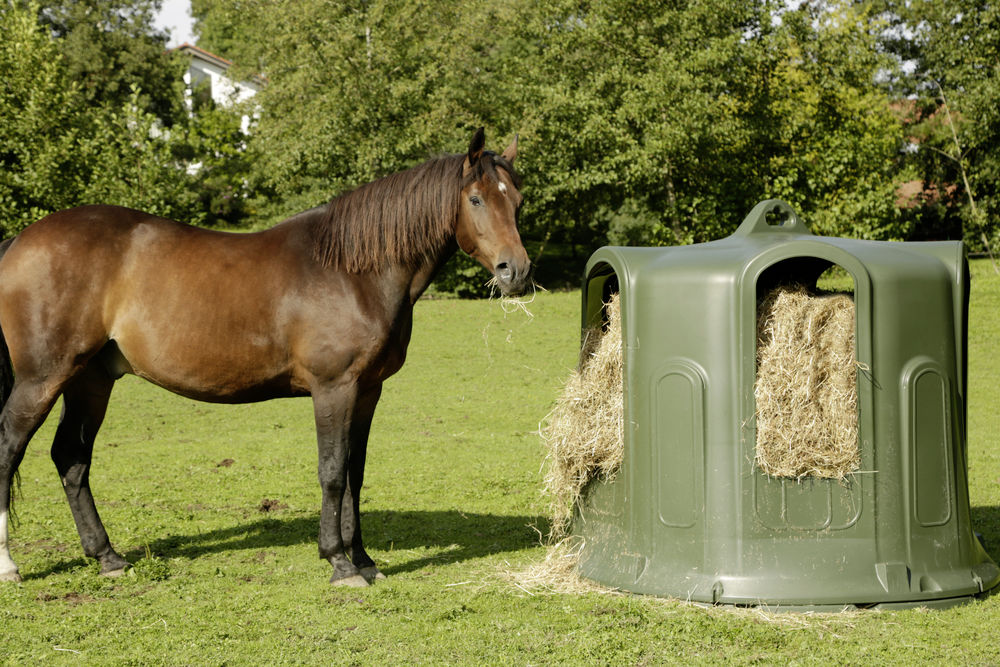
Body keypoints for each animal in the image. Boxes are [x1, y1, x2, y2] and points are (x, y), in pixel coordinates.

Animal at [0, 128, 532, 588]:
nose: (517, 272)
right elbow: (333, 472)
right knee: (10, 448)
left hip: (90, 380)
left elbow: (356, 473)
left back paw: (108, 557)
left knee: (71, 458)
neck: (353, 271)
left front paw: (364, 559)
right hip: (43, 378)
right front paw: (339, 563)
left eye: (517, 201)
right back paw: (10, 566)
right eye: (476, 199)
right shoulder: (333, 388)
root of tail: (20, 242)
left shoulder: (368, 390)